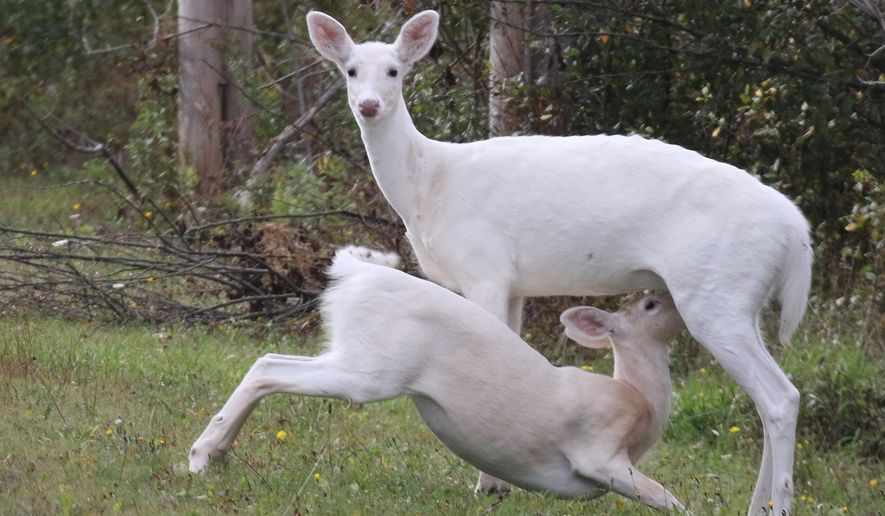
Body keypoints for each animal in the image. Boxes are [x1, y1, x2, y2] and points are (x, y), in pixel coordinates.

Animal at [190, 246, 688, 513]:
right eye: (649, 305)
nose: (672, 292)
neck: (639, 401)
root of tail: (354, 272)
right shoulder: (598, 454)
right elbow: (669, 500)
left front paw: (489, 490)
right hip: (373, 369)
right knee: (268, 368)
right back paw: (202, 455)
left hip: (354, 351)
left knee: (270, 358)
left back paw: (218, 453)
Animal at [305, 10, 812, 515]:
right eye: (350, 70)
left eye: (395, 71)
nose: (369, 105)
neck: (428, 183)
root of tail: (795, 230)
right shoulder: (514, 284)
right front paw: (497, 481)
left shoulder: (483, 266)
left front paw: (490, 484)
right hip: (743, 298)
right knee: (769, 397)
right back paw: (761, 504)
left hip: (715, 292)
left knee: (780, 397)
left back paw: (778, 504)